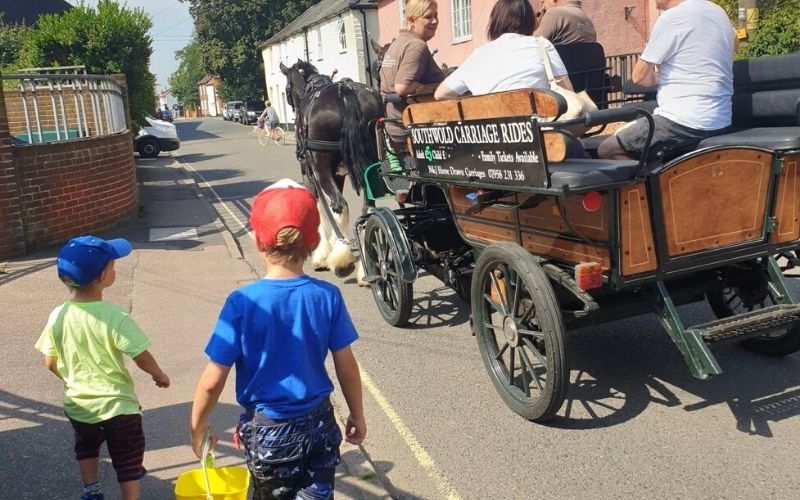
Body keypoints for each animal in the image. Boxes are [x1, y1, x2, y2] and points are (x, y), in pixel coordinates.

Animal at [280, 59, 382, 278]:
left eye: (286, 89)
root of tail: (345, 91)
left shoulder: (310, 174)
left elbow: (319, 206)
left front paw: (321, 255)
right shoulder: (339, 174)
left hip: (321, 167)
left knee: (339, 205)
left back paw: (342, 257)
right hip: (369, 165)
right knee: (367, 208)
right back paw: (364, 269)